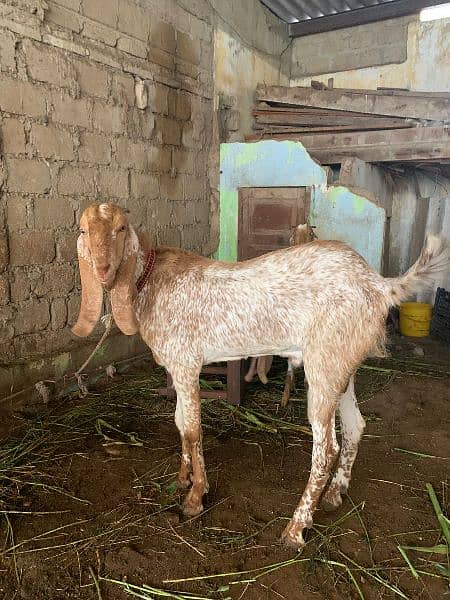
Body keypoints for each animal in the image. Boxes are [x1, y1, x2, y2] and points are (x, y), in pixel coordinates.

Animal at [72, 203, 448, 548]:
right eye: (83, 230)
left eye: (121, 228)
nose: (103, 270)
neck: (151, 280)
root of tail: (379, 285)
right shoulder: (177, 369)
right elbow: (179, 423)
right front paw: (182, 478)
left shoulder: (186, 363)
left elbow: (192, 430)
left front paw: (195, 498)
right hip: (342, 363)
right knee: (356, 425)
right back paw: (334, 494)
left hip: (323, 365)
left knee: (326, 448)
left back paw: (295, 529)